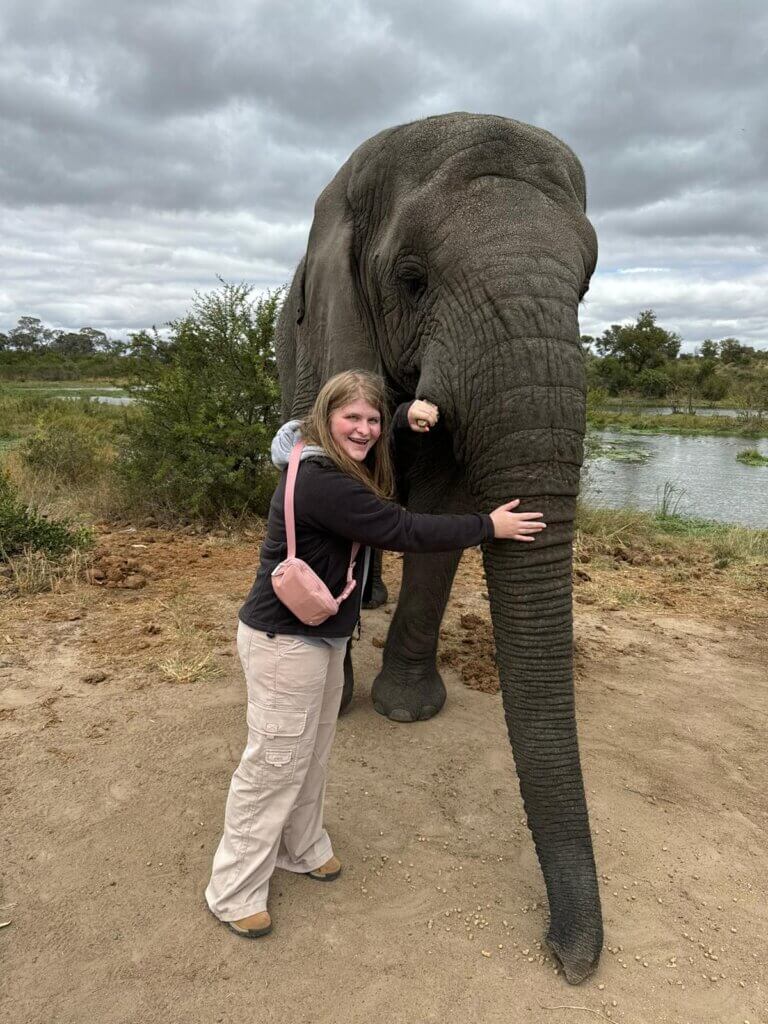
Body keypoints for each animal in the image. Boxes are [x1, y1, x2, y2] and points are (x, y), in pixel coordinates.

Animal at [274, 112, 602, 984]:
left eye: (587, 285)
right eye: (412, 278)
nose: (569, 960)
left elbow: (443, 508)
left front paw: (408, 712)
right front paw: (341, 702)